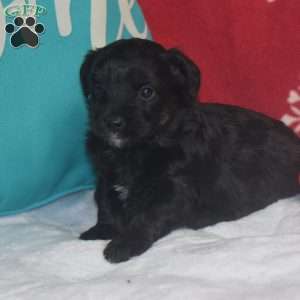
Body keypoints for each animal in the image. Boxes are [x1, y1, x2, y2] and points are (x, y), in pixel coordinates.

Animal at [79, 37, 300, 262]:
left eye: (146, 92)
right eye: (98, 89)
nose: (112, 123)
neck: (136, 149)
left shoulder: (174, 190)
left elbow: (146, 216)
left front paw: (125, 244)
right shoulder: (106, 177)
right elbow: (105, 203)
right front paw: (101, 230)